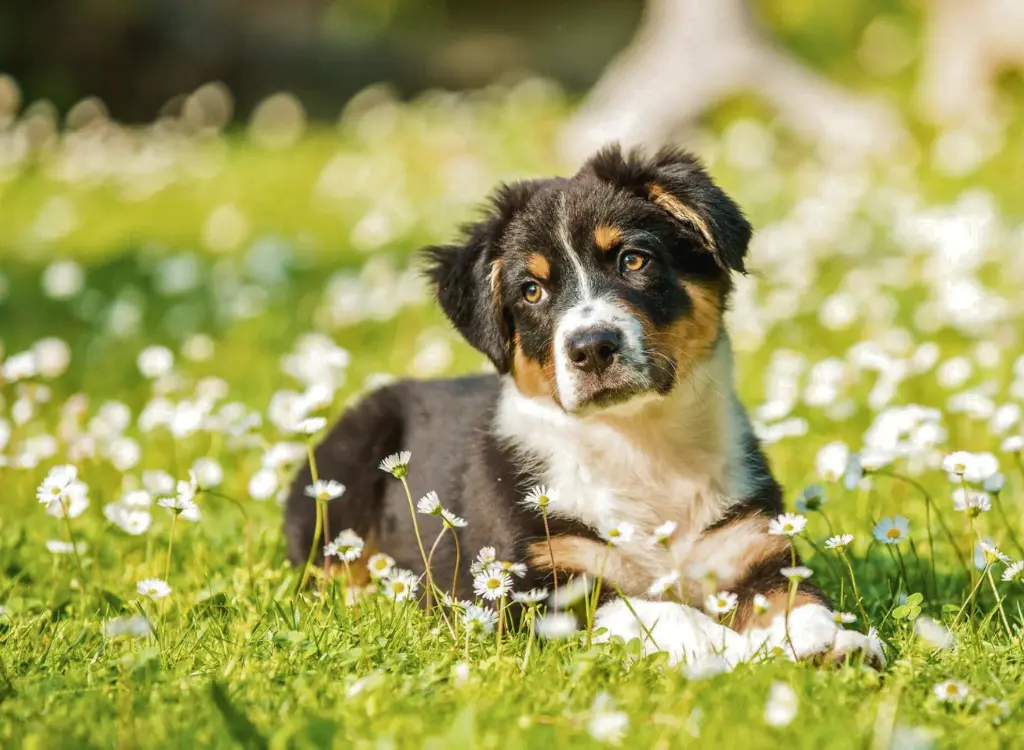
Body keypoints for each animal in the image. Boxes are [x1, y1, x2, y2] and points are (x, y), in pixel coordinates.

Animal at [284, 146, 884, 668]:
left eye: (634, 260)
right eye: (531, 291)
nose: (592, 347)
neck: (641, 445)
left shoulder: (753, 549)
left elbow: (797, 600)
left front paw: (834, 641)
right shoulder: (539, 587)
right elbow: (662, 611)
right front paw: (734, 652)